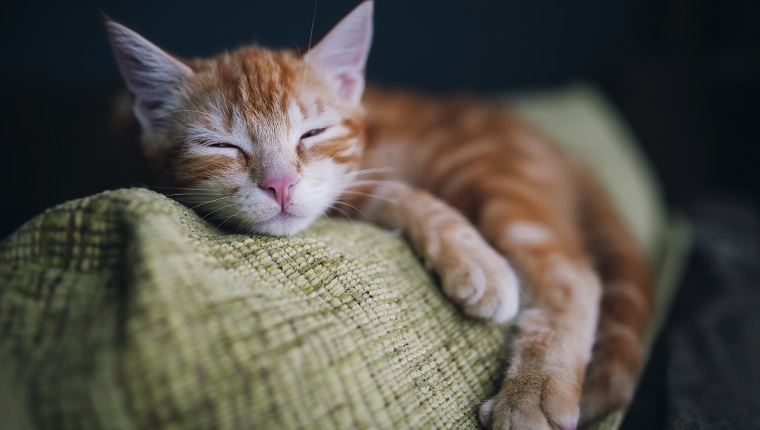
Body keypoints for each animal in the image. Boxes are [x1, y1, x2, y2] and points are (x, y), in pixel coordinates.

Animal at [107, 1, 652, 428]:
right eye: (222, 146)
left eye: (313, 133)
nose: (280, 184)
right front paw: (476, 259)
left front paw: (481, 265)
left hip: (482, 171)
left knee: (571, 273)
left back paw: (533, 394)